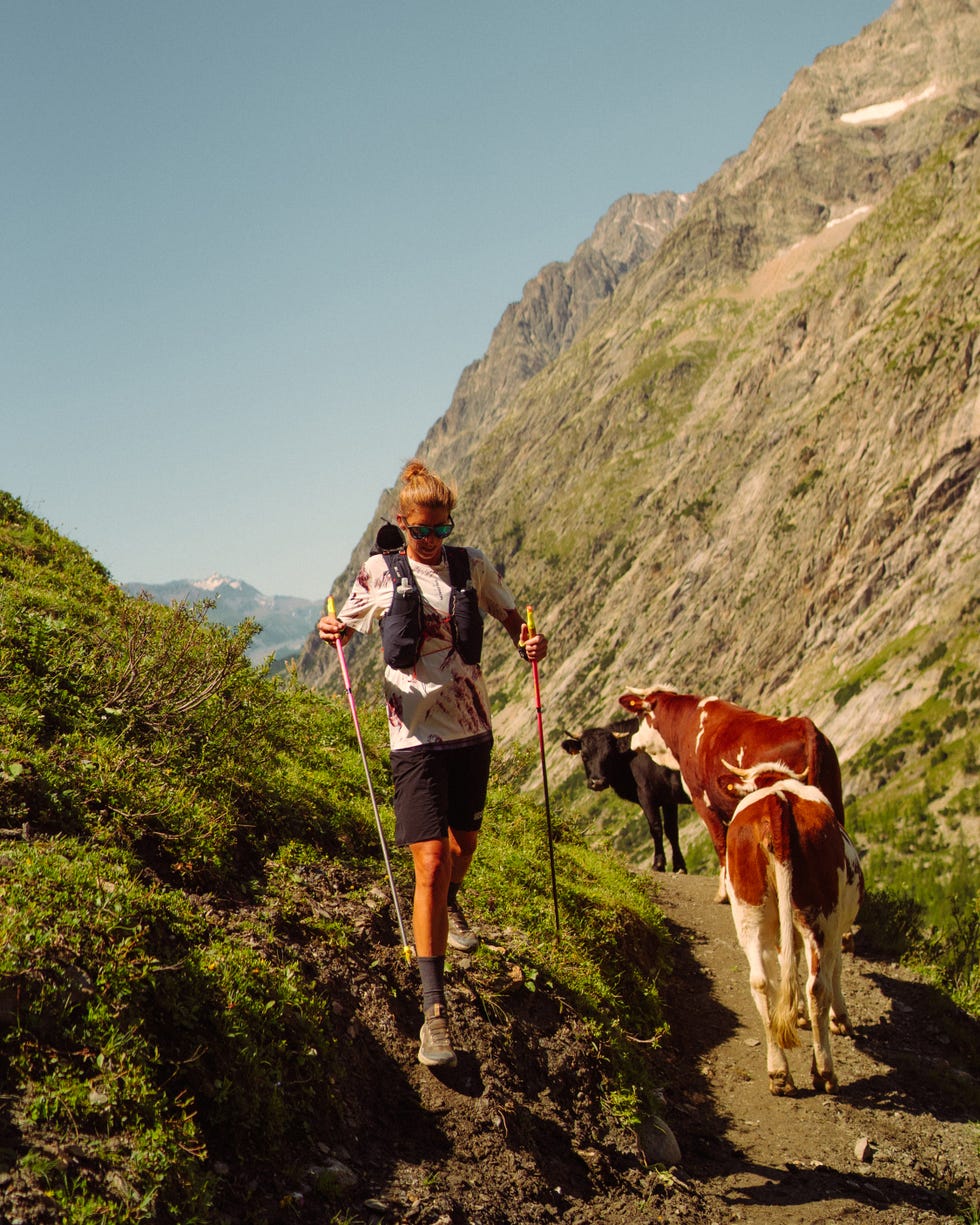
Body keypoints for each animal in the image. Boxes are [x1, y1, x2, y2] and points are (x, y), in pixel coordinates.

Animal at [558, 715, 690, 872]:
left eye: (609, 755)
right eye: (584, 755)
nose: (598, 782)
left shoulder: (646, 794)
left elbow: (656, 828)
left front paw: (658, 864)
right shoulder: (668, 799)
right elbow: (671, 830)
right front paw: (679, 866)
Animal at [619, 690, 842, 901]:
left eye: (640, 716)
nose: (632, 742)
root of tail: (804, 724)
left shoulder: (702, 801)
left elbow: (720, 842)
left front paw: (723, 893)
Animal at [720, 769, 867, 1097]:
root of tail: (776, 800)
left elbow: (790, 963)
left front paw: (797, 1013)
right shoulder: (836, 932)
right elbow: (834, 972)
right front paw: (841, 1018)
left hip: (751, 913)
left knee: (761, 982)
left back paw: (779, 1073)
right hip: (820, 916)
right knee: (818, 986)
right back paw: (824, 1072)